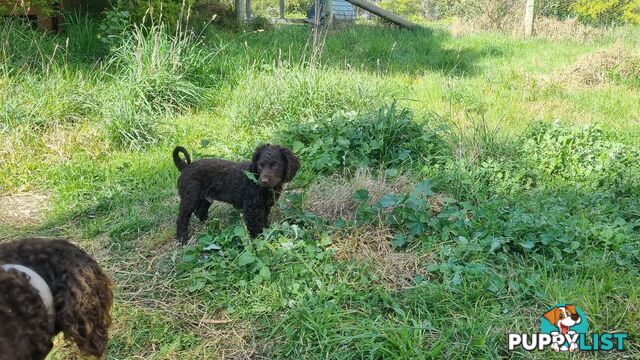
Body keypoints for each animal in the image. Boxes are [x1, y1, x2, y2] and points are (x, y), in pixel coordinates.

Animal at [174, 145, 302, 243]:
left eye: (275, 165)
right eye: (260, 165)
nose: (264, 181)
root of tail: (185, 166)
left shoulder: (265, 207)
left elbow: (264, 220)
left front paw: (268, 231)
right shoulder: (252, 208)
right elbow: (255, 225)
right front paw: (258, 239)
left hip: (205, 198)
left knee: (200, 211)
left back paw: (210, 225)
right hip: (190, 198)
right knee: (182, 218)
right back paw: (182, 239)